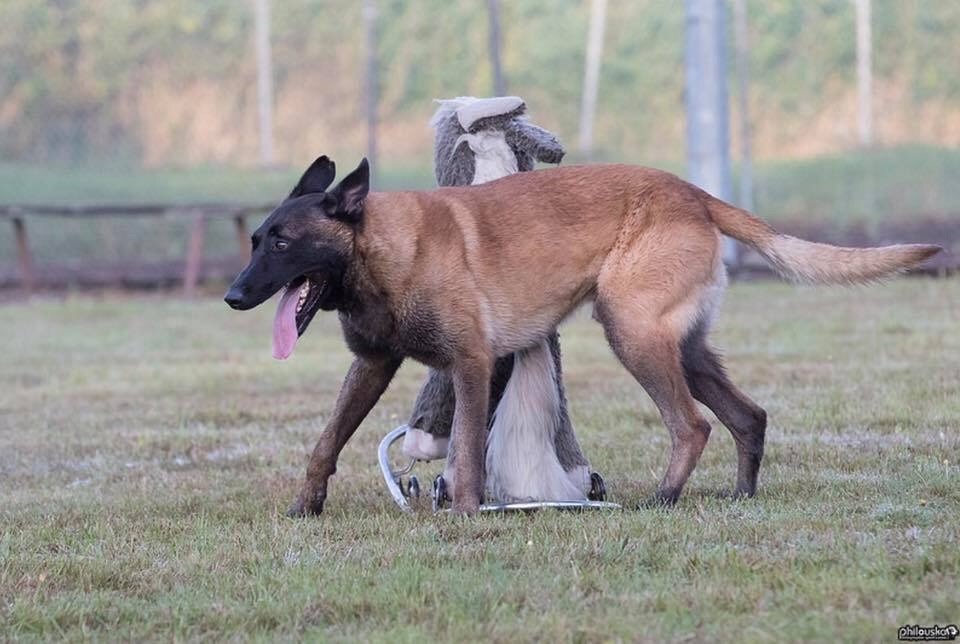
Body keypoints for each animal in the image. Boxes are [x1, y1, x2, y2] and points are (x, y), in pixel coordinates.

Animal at [223, 156, 936, 512]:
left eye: (282, 242)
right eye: (255, 239)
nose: (232, 296)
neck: (380, 250)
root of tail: (696, 194)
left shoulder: (473, 363)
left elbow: (466, 452)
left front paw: (465, 515)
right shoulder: (373, 365)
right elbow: (326, 440)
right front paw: (307, 505)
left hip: (633, 334)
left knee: (693, 425)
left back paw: (663, 500)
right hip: (683, 348)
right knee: (748, 417)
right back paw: (740, 498)